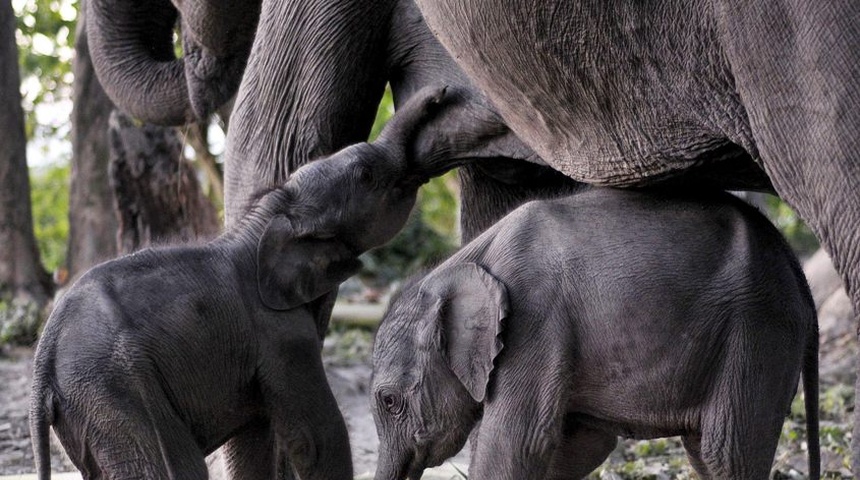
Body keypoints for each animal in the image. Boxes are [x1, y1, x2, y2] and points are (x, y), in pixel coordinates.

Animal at [26, 86, 450, 480]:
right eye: (366, 175)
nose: (440, 95)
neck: (271, 214)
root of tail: (42, 365)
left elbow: (256, 438)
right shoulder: (279, 332)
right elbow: (316, 437)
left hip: (91, 407)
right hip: (118, 391)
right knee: (176, 466)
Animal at [372, 188, 820, 480]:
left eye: (390, 401)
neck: (463, 264)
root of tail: (792, 262)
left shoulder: (535, 321)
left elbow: (518, 442)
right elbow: (579, 445)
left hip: (758, 330)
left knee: (726, 452)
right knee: (706, 453)